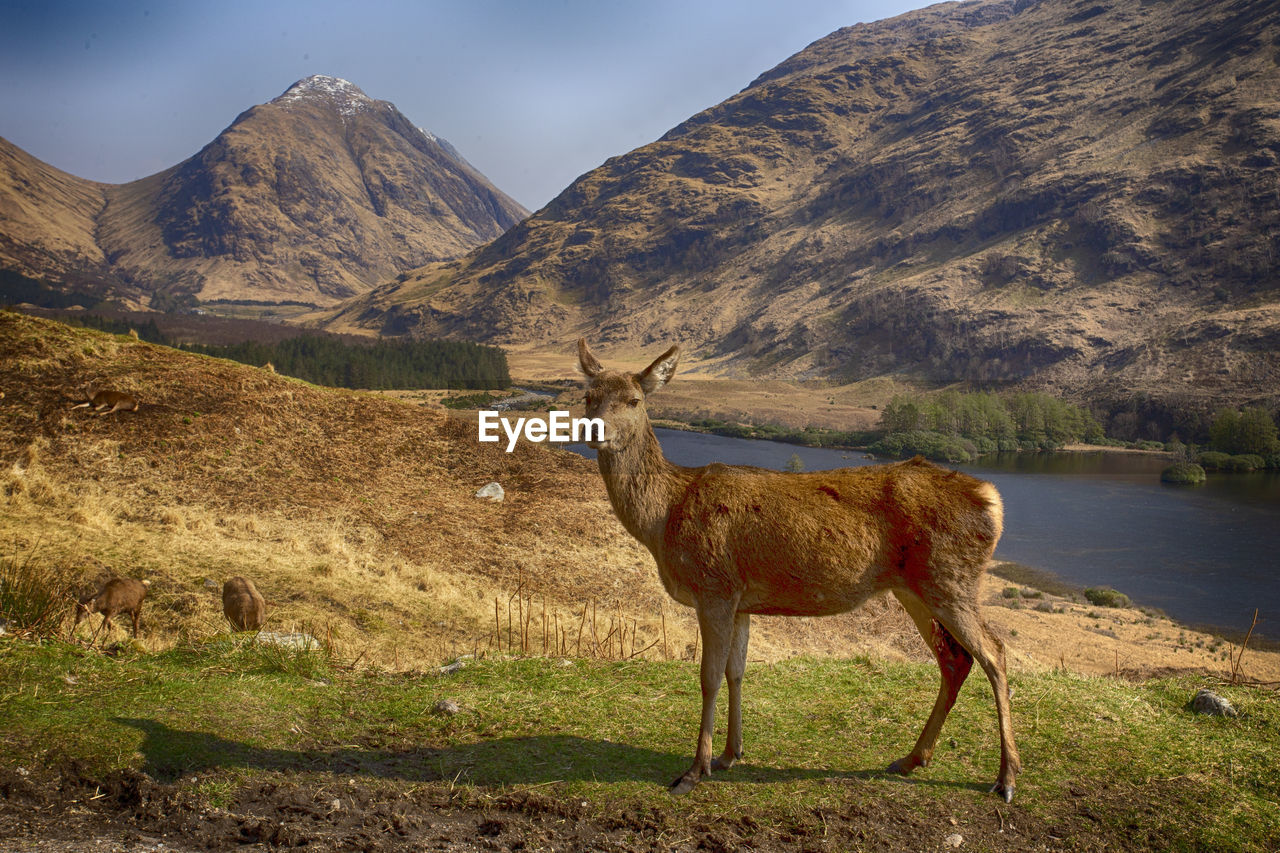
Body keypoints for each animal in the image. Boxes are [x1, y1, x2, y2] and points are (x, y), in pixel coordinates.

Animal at [578, 338, 1018, 799]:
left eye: (634, 399)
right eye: (588, 396)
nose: (593, 430)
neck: (664, 517)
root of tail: (992, 500)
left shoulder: (714, 585)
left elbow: (709, 676)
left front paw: (695, 770)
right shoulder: (740, 600)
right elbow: (736, 672)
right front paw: (730, 754)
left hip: (951, 579)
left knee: (995, 653)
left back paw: (1006, 778)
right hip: (914, 587)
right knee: (955, 660)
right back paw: (912, 759)